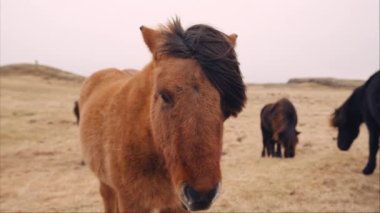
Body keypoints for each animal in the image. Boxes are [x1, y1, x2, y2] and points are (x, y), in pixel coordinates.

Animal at [79, 18, 248, 213]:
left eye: (225, 102)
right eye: (163, 94)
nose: (201, 196)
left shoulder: (175, 205)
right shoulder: (130, 203)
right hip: (105, 184)